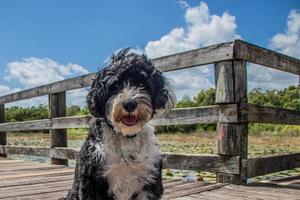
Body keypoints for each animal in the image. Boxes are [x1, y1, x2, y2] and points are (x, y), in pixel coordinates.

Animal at [63, 48, 176, 200]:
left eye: (142, 84)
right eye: (115, 85)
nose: (129, 104)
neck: (125, 137)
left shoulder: (149, 182)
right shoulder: (91, 181)